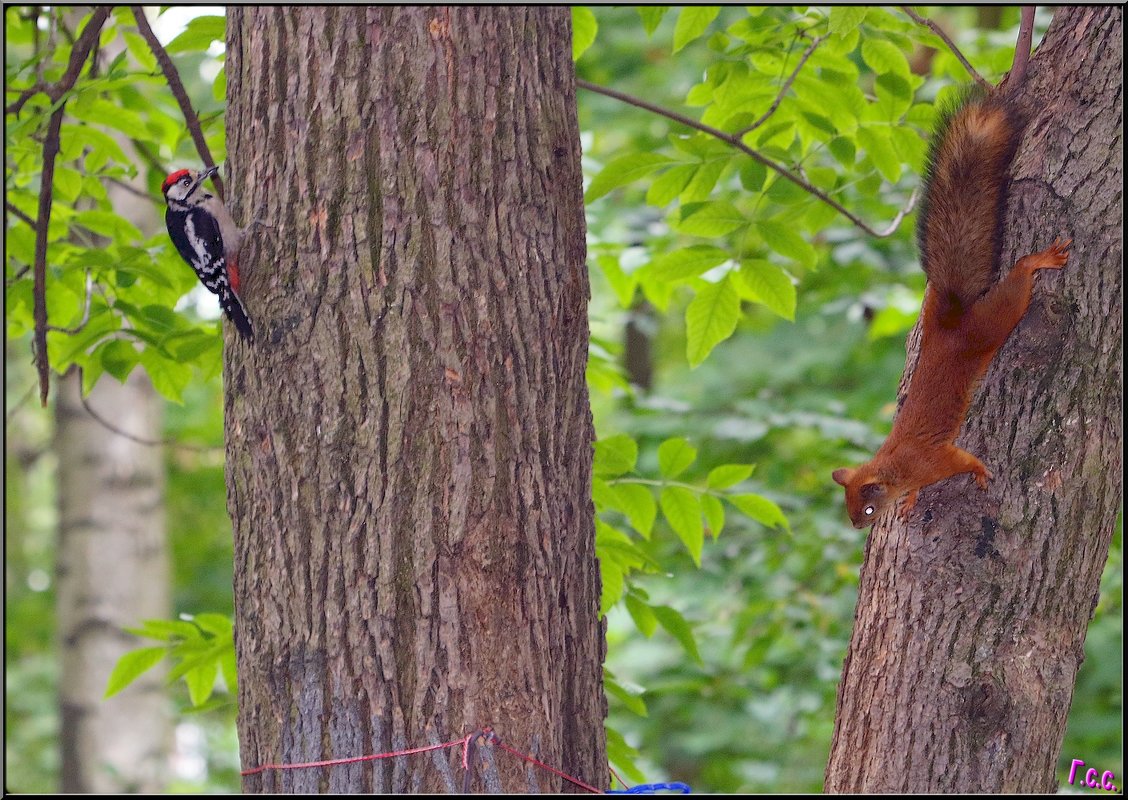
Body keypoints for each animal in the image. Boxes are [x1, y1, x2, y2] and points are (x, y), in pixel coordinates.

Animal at [834, 87, 1069, 528]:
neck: (895, 467)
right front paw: (911, 501)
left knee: (1017, 285)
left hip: (995, 320)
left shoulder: (937, 460)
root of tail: (950, 317)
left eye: (868, 507)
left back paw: (1037, 261)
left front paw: (978, 472)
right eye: (847, 505)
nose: (857, 525)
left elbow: (964, 460)